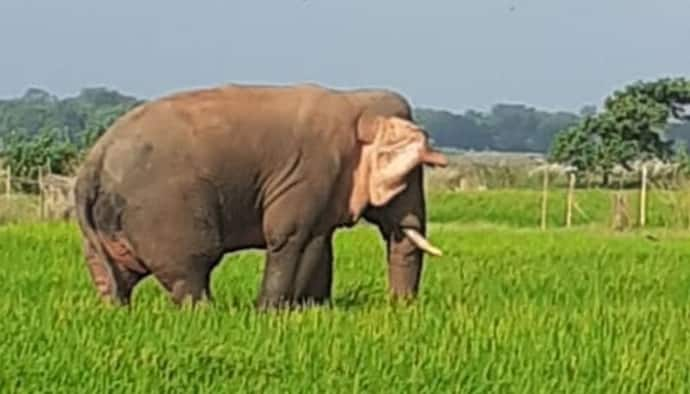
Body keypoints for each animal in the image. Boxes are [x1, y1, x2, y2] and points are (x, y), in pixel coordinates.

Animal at [74, 84, 446, 310]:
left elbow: (319, 241)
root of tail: (93, 162)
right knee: (191, 268)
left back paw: (116, 310)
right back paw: (208, 313)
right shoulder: (308, 173)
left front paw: (315, 310)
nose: (400, 307)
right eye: (410, 174)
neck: (354, 101)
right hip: (165, 212)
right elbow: (291, 237)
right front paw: (270, 312)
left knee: (111, 273)